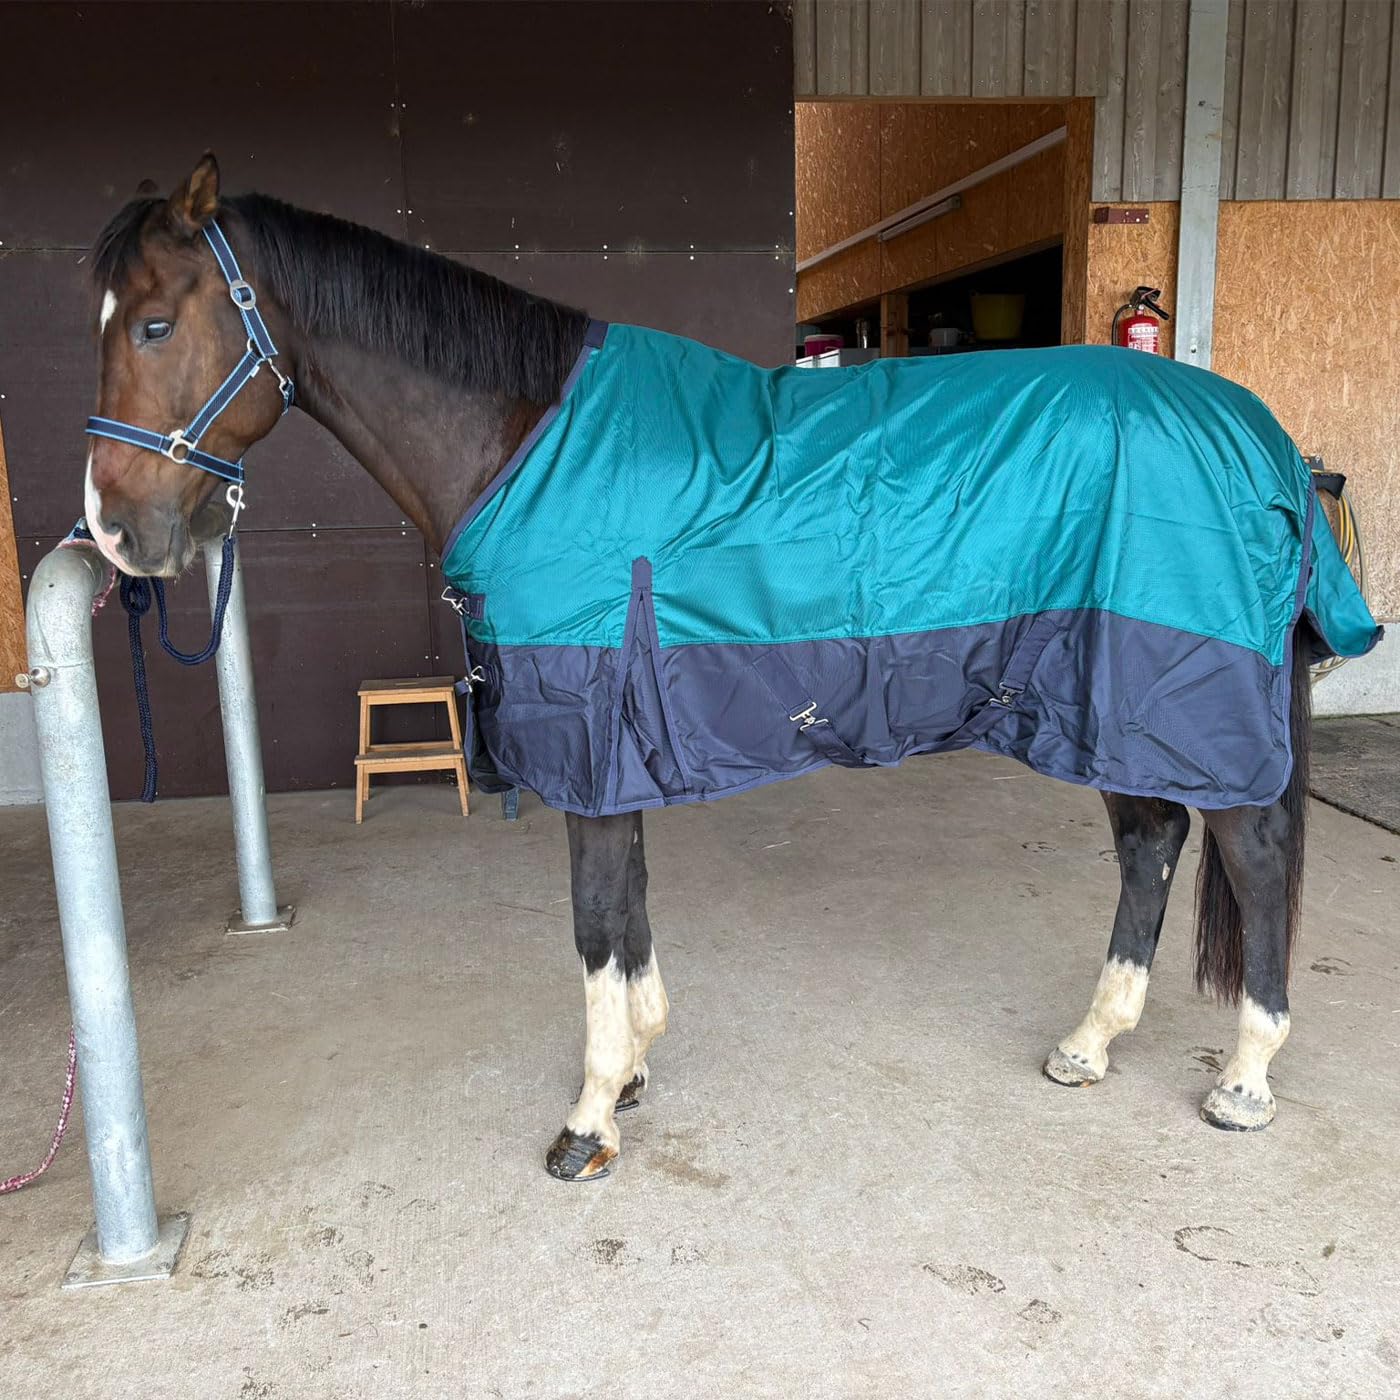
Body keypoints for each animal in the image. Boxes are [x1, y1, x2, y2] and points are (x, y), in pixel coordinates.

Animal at [80, 155, 1377, 1181]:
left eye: (153, 325)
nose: (115, 533)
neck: (526, 439)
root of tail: (1259, 437)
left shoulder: (592, 743)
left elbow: (594, 922)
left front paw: (589, 1116)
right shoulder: (620, 748)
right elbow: (632, 916)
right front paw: (636, 1067)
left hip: (1179, 702)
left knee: (1250, 853)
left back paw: (1243, 1076)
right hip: (1107, 705)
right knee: (1150, 839)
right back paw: (1088, 1043)